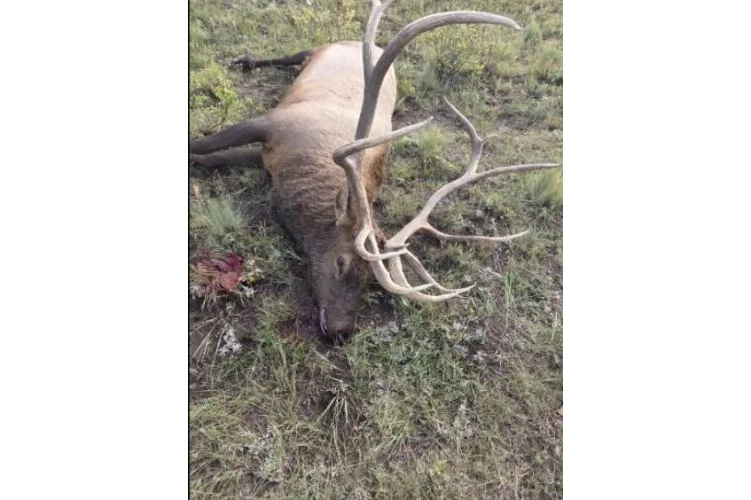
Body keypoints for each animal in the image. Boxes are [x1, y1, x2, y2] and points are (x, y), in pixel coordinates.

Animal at [189, 0, 559, 343]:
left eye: (368, 279)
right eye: (341, 262)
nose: (341, 332)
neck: (300, 170)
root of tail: (370, 44)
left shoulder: (266, 157)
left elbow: (208, 159)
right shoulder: (271, 123)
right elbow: (200, 145)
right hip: (320, 48)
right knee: (292, 54)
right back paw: (246, 60)